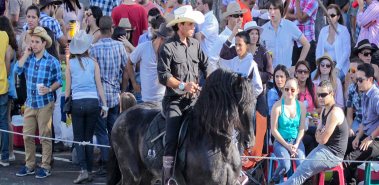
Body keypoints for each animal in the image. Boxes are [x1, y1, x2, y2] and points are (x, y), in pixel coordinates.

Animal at [105, 68, 256, 184]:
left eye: (254, 102)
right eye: (240, 103)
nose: (249, 141)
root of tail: (122, 115)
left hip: (148, 174)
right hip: (132, 174)